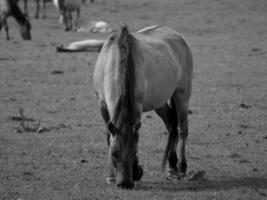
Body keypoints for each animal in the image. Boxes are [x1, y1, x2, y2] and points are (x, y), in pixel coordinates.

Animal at [93, 24, 194, 188]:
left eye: (134, 152)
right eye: (114, 153)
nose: (125, 184)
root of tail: (177, 35)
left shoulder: (136, 107)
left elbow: (135, 135)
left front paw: (136, 171)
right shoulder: (102, 106)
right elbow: (109, 137)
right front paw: (111, 176)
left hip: (182, 96)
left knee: (182, 129)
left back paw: (181, 168)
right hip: (159, 102)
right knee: (171, 125)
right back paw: (171, 166)